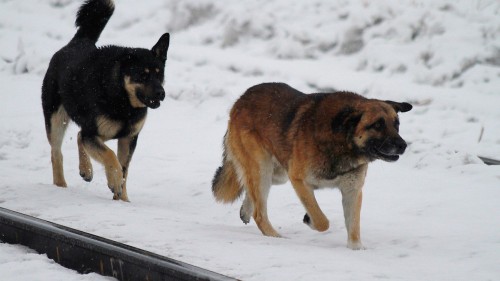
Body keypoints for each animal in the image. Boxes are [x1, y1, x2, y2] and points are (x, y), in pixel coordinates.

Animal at [42, 0, 170, 201]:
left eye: (159, 74)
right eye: (143, 75)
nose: (161, 93)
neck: (123, 100)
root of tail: (78, 42)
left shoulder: (128, 138)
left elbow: (124, 169)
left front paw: (122, 199)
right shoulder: (94, 132)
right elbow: (111, 156)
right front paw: (115, 182)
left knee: (79, 136)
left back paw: (86, 170)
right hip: (56, 118)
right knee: (56, 152)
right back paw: (60, 185)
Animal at [213, 82, 412, 248]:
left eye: (396, 124)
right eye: (377, 125)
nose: (403, 145)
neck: (342, 141)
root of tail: (241, 99)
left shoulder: (352, 191)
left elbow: (354, 227)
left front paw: (356, 249)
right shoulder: (299, 180)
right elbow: (322, 220)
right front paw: (310, 219)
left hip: (277, 174)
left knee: (251, 191)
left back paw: (246, 210)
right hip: (263, 169)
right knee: (259, 213)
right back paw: (276, 237)